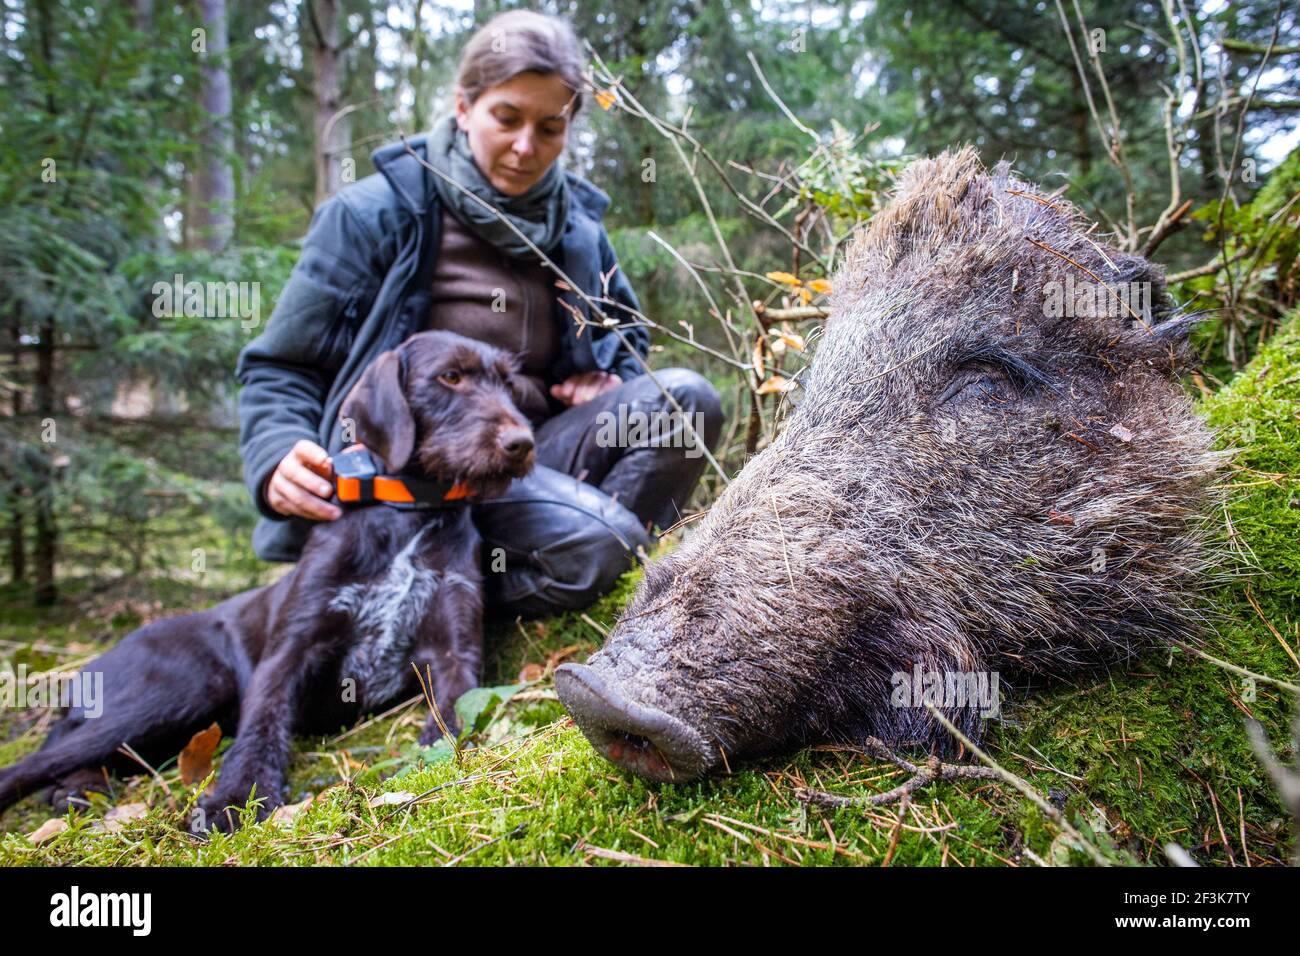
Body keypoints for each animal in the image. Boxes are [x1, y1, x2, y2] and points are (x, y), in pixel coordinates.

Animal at [0, 332, 535, 832]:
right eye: (450, 377)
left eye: (509, 385)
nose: (522, 444)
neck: (408, 512)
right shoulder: (289, 651)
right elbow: (263, 723)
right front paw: (236, 797)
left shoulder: (454, 651)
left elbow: (454, 711)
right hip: (181, 688)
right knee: (37, 761)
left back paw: (77, 790)